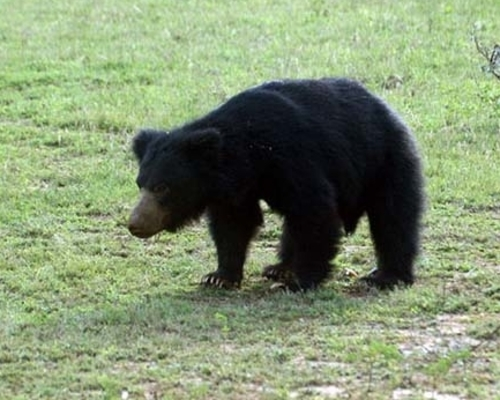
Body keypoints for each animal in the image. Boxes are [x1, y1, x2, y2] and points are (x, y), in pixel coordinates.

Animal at [127, 77, 424, 290]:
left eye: (162, 187)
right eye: (140, 184)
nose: (135, 224)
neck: (247, 152)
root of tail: (391, 113)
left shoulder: (293, 156)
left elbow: (315, 211)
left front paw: (299, 282)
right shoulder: (234, 189)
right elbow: (234, 223)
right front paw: (218, 276)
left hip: (387, 162)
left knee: (393, 218)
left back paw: (386, 277)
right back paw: (279, 268)